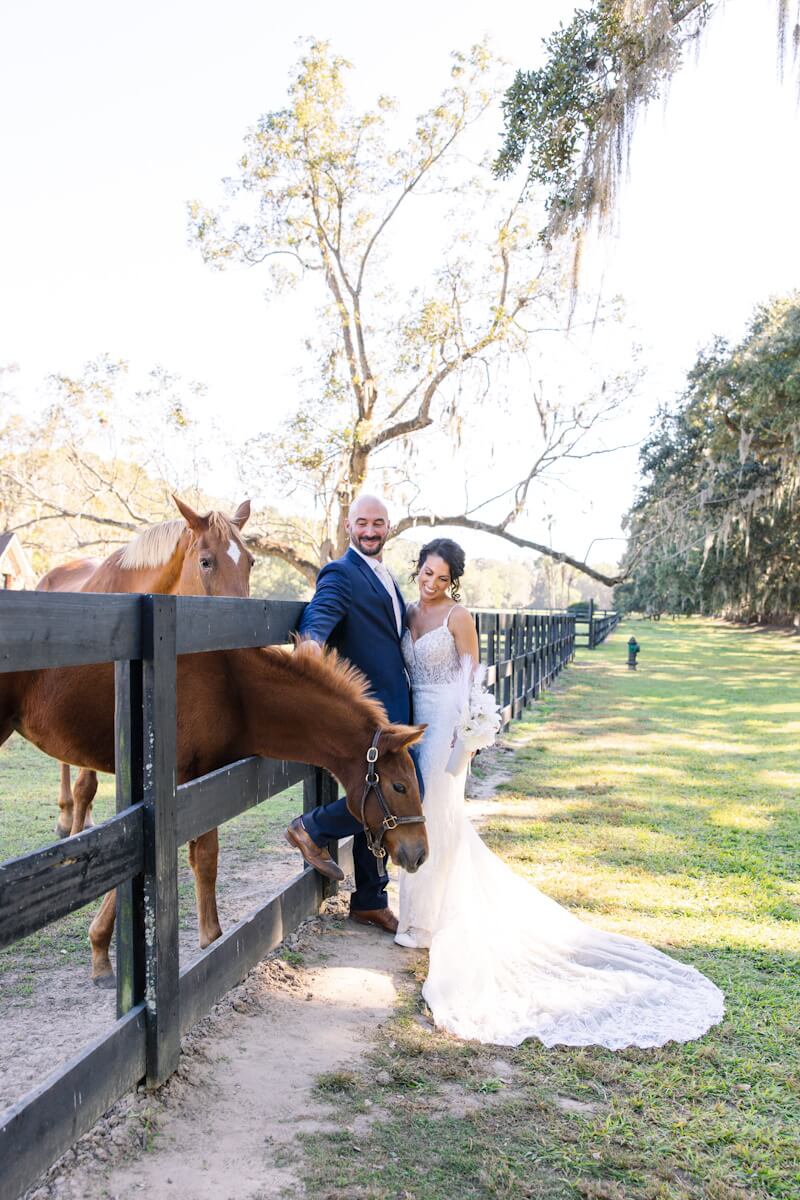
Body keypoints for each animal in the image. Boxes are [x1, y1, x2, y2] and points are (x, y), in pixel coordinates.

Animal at [0, 643, 429, 979]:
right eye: (399, 786)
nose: (420, 853)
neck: (234, 689)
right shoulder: (183, 783)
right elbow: (202, 857)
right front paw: (212, 941)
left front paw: (101, 951)